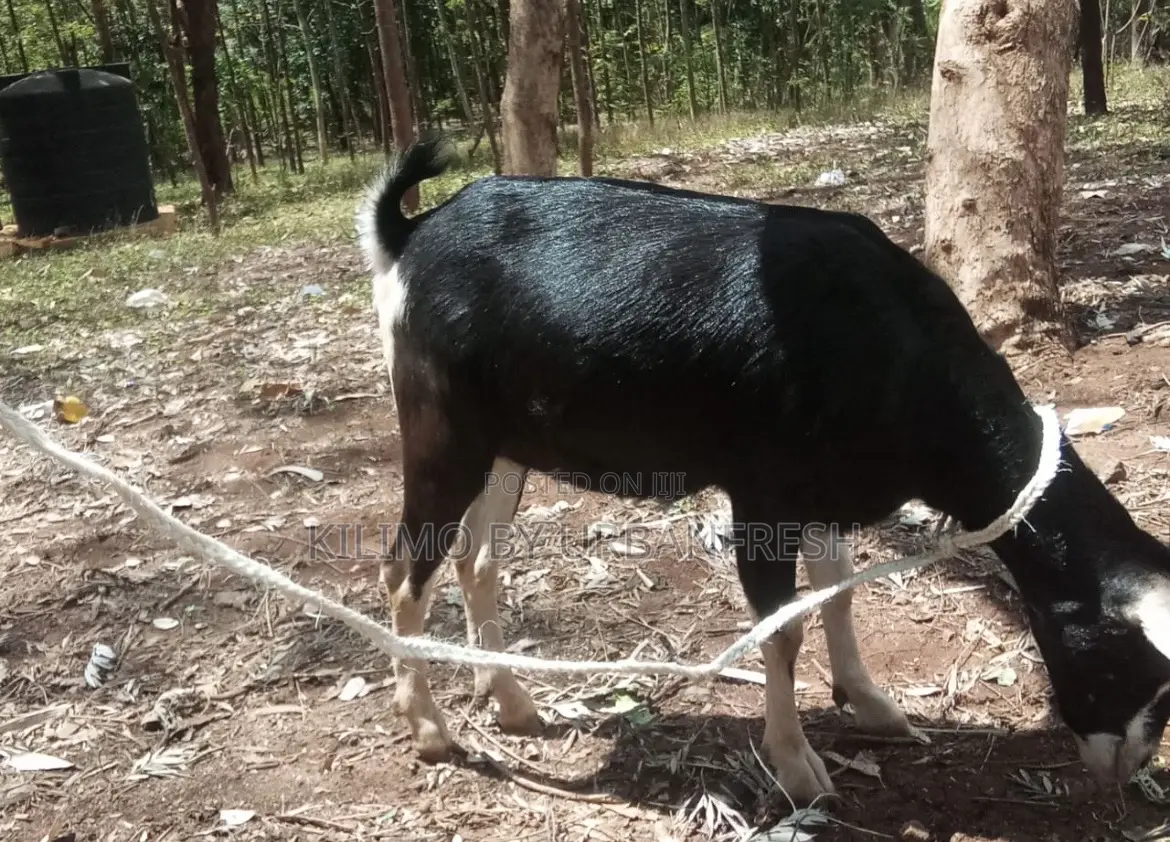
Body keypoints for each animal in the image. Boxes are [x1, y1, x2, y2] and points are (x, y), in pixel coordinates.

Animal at [355, 135, 1170, 802]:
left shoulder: (826, 492)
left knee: (477, 560)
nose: (1126, 770)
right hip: (441, 432)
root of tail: (410, 235)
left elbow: (839, 594)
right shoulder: (763, 494)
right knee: (404, 569)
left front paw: (871, 706)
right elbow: (782, 630)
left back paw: (514, 703)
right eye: (1123, 662)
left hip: (507, 446)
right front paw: (798, 768)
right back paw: (429, 730)